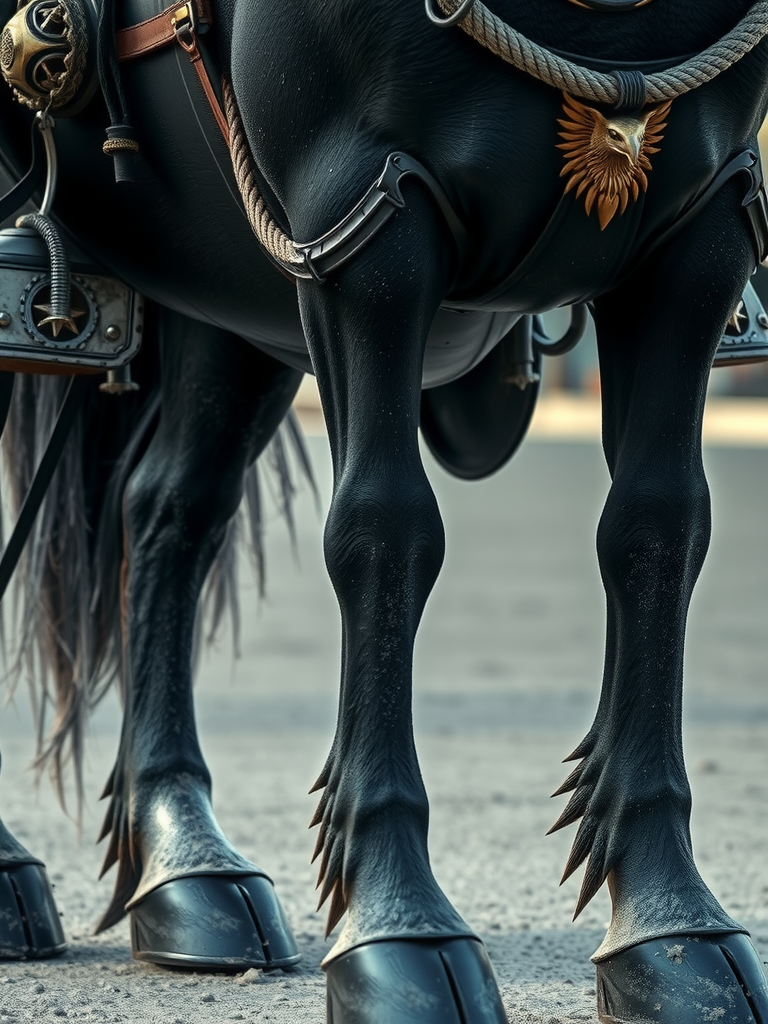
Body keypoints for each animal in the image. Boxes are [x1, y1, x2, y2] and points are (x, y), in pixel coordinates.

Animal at [1, 0, 768, 1019]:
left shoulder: (702, 229)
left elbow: (660, 526)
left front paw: (671, 927)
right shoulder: (363, 218)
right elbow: (384, 529)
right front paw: (396, 923)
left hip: (222, 278)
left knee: (170, 508)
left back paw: (184, 865)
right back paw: (17, 873)